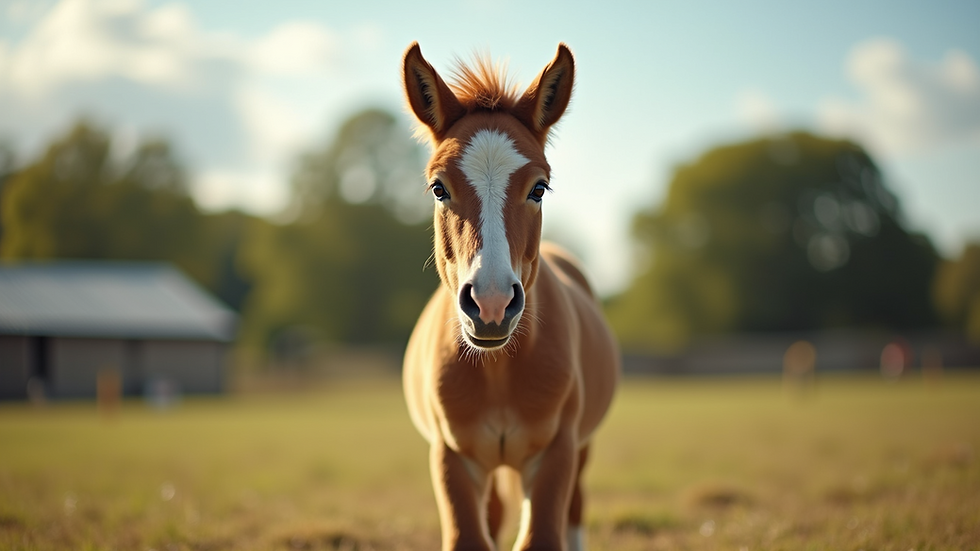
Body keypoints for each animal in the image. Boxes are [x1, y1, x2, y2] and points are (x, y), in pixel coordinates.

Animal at [401, 42, 619, 551]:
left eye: (539, 188)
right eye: (438, 187)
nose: (492, 304)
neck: (498, 372)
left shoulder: (557, 453)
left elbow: (543, 536)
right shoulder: (452, 458)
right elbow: (470, 537)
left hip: (581, 450)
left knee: (575, 512)